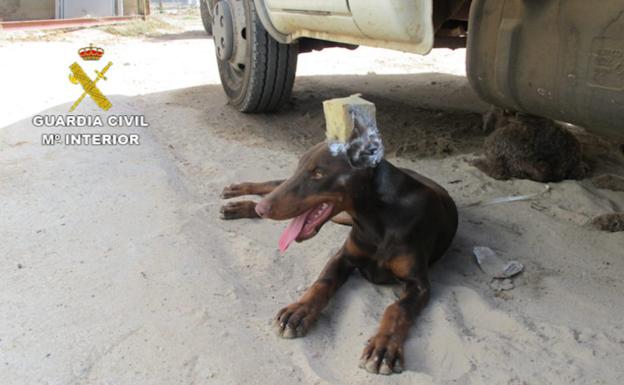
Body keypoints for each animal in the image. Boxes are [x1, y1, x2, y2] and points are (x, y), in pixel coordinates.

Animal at [219, 109, 458, 376]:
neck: (377, 218)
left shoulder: (419, 284)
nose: (264, 209)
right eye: (300, 166)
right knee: (274, 184)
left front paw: (383, 347)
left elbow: (397, 309)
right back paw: (239, 196)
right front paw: (298, 311)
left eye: (319, 173)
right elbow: (322, 283)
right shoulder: (343, 257)